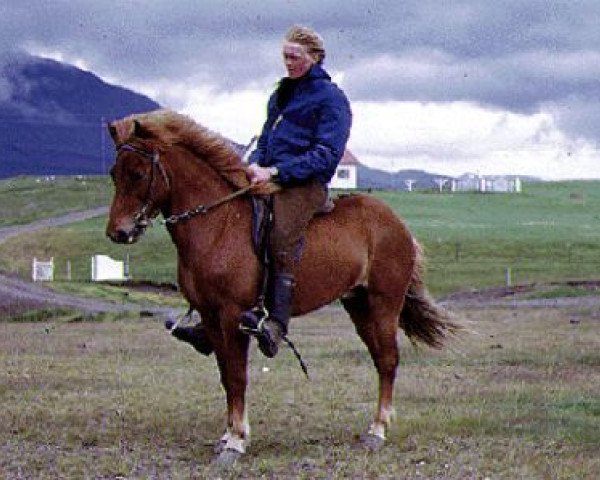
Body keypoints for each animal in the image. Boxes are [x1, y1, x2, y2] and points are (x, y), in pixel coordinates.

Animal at [105, 109, 458, 464]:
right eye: (113, 173)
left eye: (137, 174)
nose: (117, 232)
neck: (219, 225)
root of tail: (397, 225)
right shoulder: (210, 315)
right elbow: (225, 375)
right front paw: (227, 435)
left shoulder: (232, 315)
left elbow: (237, 376)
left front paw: (235, 442)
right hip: (358, 304)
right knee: (379, 358)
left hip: (384, 303)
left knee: (387, 360)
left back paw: (377, 431)